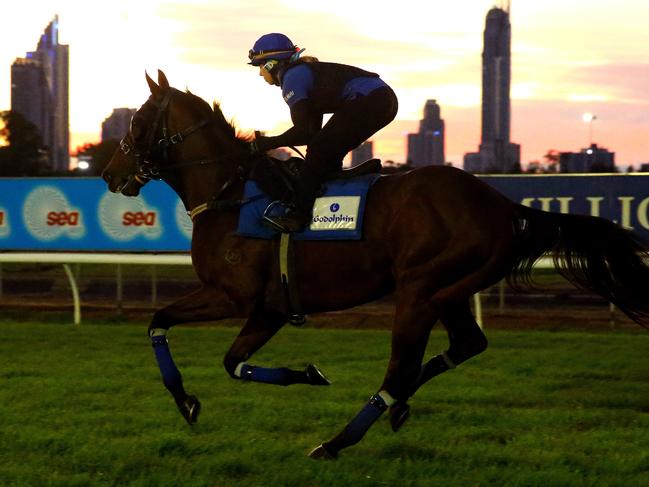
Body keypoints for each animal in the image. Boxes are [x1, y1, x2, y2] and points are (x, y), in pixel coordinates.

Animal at [100, 70, 648, 460]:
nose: (110, 172)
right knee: (465, 345)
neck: (230, 196)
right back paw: (396, 411)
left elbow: (178, 332)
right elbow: (211, 351)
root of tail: (503, 206)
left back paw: (337, 441)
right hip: (448, 289)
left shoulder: (239, 297)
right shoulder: (261, 307)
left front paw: (196, 397)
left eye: (137, 124)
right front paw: (207, 397)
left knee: (399, 370)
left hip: (420, 291)